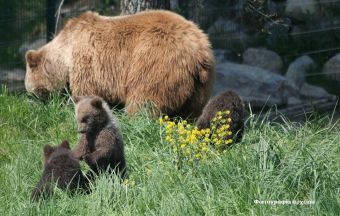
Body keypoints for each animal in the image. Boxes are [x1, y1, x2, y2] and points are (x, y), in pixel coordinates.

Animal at [24, 10, 215, 118]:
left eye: (32, 90)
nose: (34, 102)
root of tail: (199, 49)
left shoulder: (87, 64)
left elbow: (86, 93)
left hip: (155, 61)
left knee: (145, 100)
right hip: (199, 85)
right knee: (191, 112)